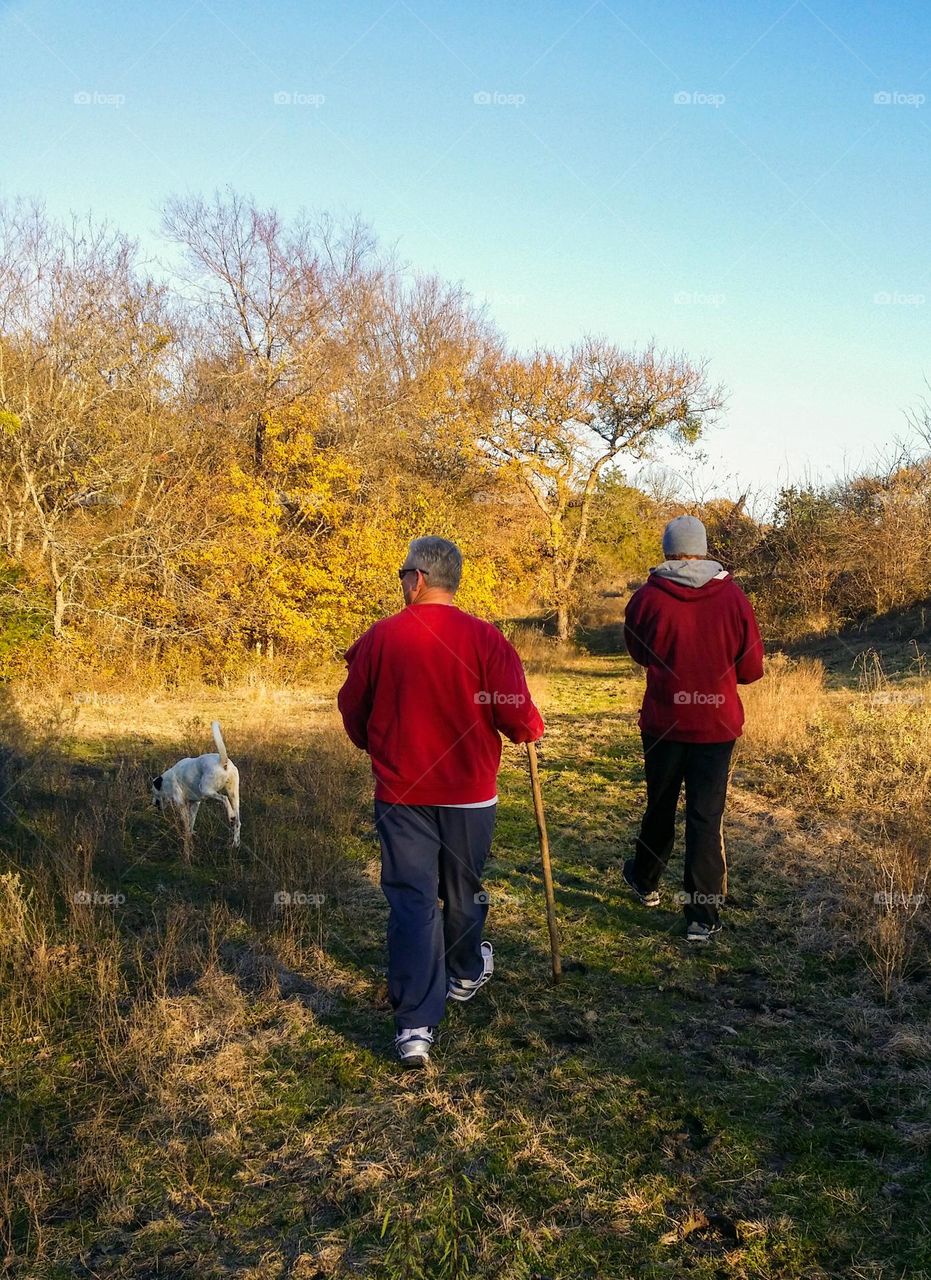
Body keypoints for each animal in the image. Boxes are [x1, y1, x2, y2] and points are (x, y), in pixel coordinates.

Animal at [151, 721, 240, 860]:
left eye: (153, 792)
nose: (153, 804)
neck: (168, 780)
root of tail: (223, 761)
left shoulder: (181, 805)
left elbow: (186, 824)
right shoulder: (194, 804)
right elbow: (191, 824)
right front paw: (191, 837)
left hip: (206, 790)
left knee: (224, 799)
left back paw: (230, 816)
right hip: (234, 796)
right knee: (238, 822)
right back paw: (235, 843)